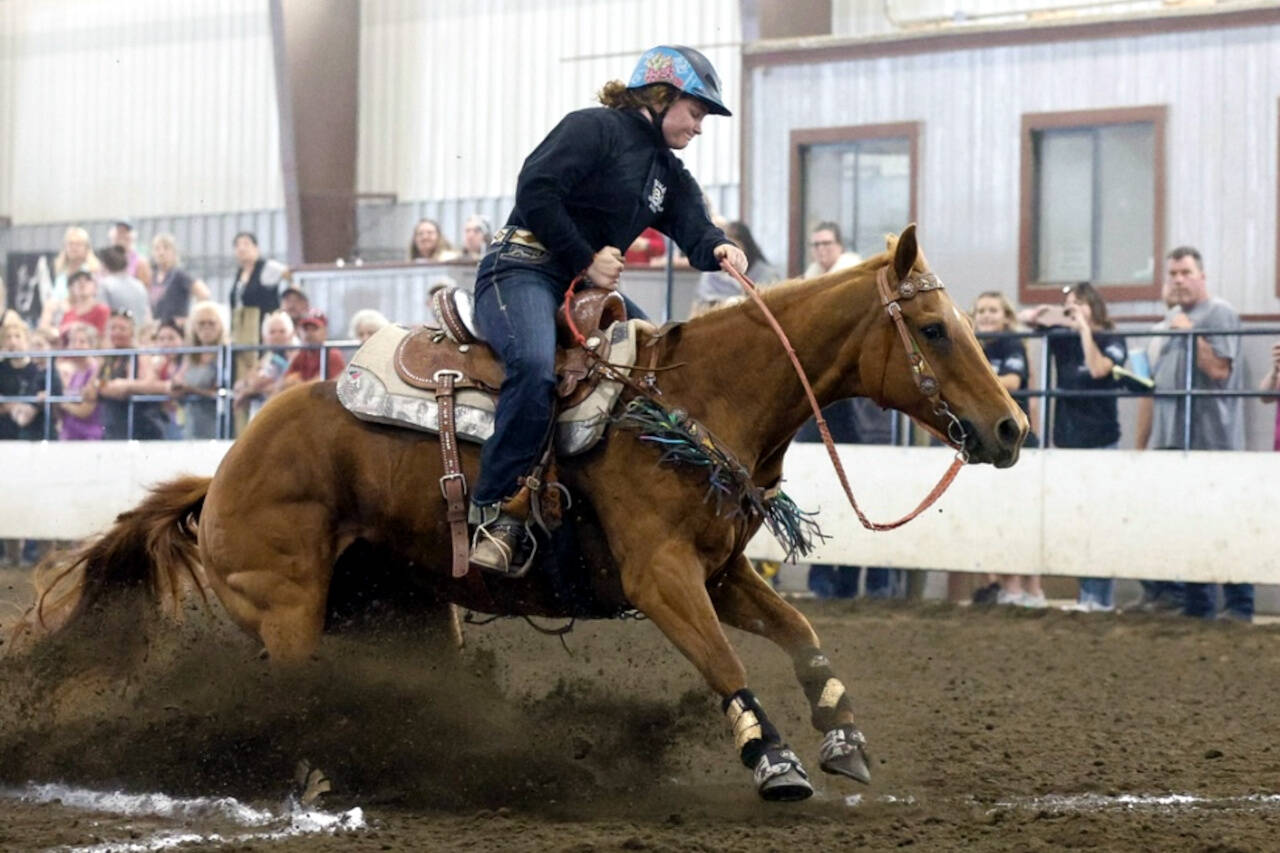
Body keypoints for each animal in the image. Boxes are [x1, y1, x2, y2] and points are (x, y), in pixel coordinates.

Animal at [30, 224, 1029, 799]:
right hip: (289, 609)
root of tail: (223, 473)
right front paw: (772, 758)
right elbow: (724, 659)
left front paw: (843, 736)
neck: (694, 397)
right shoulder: (661, 577)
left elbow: (801, 635)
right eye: (933, 329)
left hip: (403, 611)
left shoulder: (720, 569)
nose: (1012, 427)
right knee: (289, 697)